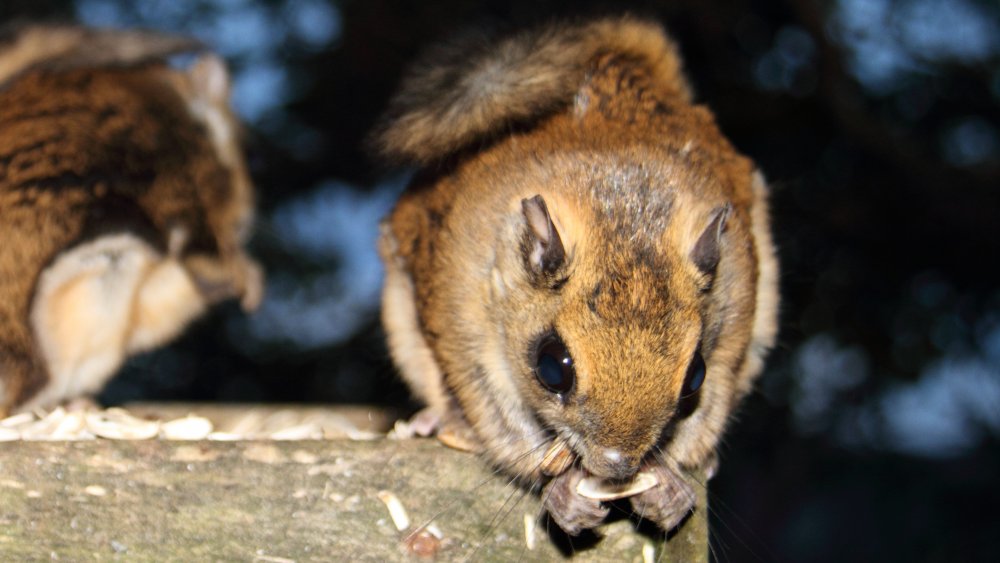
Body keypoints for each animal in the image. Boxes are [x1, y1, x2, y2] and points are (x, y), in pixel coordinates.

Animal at [0, 25, 262, 414]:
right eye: (236, 152)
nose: (245, 219)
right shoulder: (186, 187)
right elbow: (208, 258)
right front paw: (249, 277)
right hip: (104, 270)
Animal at [376, 17, 780, 536]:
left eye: (695, 376)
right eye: (552, 368)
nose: (617, 465)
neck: (616, 212)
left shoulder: (735, 325)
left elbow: (705, 416)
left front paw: (667, 487)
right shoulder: (465, 330)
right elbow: (505, 426)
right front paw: (564, 492)